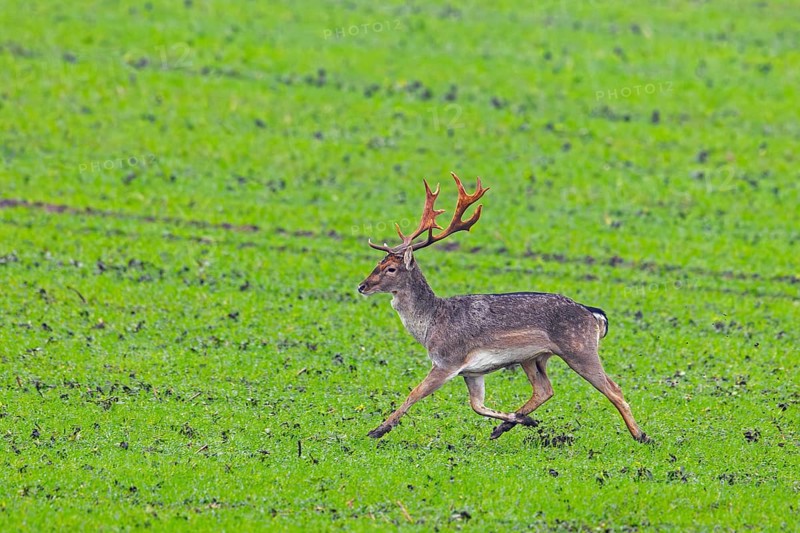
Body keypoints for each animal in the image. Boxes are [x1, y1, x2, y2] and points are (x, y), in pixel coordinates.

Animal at [357, 173, 650, 443]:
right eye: (377, 263)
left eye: (391, 268)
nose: (362, 285)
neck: (430, 325)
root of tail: (594, 314)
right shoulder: (472, 371)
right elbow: (476, 405)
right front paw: (519, 421)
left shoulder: (448, 359)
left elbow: (414, 393)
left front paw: (377, 430)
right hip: (533, 357)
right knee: (545, 389)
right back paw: (510, 424)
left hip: (579, 348)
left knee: (613, 388)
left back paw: (641, 435)